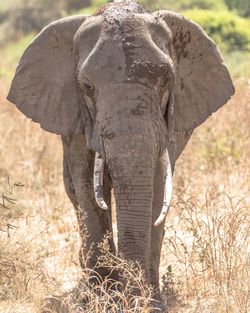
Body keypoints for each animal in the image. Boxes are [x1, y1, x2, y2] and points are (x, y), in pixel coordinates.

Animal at [7, 0, 234, 310]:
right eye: (87, 87)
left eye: (166, 81)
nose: (131, 298)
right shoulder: (77, 116)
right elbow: (88, 189)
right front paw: (102, 301)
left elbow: (156, 188)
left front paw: (150, 304)